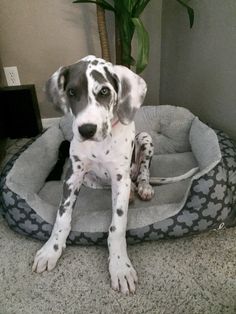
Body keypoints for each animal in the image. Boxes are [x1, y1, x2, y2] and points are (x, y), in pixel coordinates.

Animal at [32, 54, 155, 294]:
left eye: (104, 91)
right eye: (71, 92)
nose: (86, 130)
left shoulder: (120, 179)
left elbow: (117, 226)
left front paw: (120, 266)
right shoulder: (73, 176)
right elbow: (62, 217)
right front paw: (51, 250)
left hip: (145, 139)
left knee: (142, 172)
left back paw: (144, 187)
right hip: (90, 180)